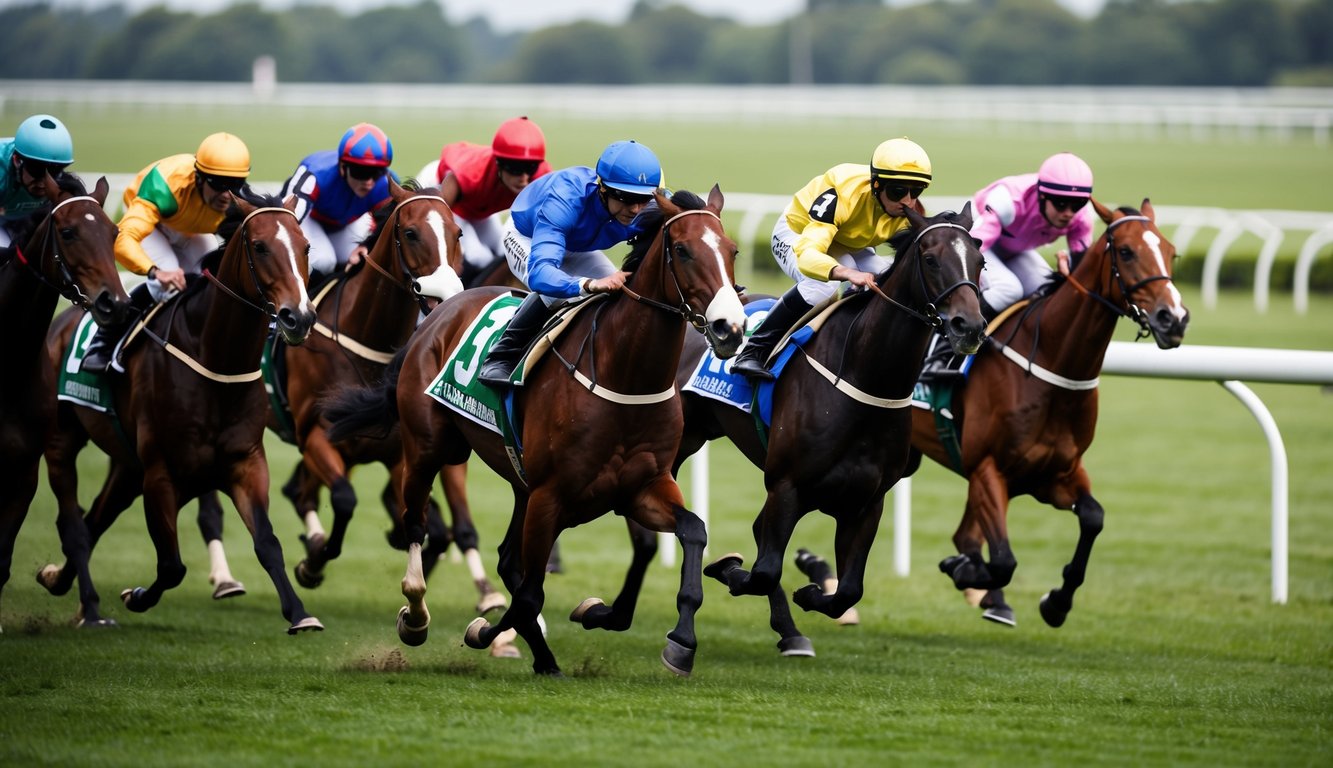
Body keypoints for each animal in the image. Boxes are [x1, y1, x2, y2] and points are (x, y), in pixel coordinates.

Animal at [39, 194, 322, 632]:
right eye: (260, 247)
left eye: (305, 246)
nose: (300, 317)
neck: (216, 360)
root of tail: (63, 321)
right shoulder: (161, 474)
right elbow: (172, 565)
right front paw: (137, 596)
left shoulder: (246, 462)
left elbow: (267, 543)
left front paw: (299, 613)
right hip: (62, 441)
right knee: (76, 522)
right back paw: (87, 605)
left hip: (127, 467)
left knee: (96, 518)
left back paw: (58, 579)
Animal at [317, 188, 746, 677]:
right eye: (684, 250)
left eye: (732, 251)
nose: (730, 328)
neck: (624, 375)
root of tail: (438, 313)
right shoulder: (551, 495)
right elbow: (528, 596)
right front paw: (484, 631)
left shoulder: (642, 486)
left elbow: (692, 531)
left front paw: (675, 639)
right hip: (429, 447)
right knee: (415, 522)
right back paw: (415, 616)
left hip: (519, 482)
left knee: (506, 557)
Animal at [677, 202, 991, 653]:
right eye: (931, 259)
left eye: (981, 261)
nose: (970, 327)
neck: (864, 377)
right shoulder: (786, 486)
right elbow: (764, 569)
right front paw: (728, 568)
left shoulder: (866, 501)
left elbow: (848, 590)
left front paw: (812, 590)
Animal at [906, 197, 1189, 629]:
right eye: (1126, 251)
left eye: (1171, 252)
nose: (1173, 318)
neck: (1051, 365)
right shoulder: (988, 469)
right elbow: (1002, 559)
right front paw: (967, 571)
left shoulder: (1055, 473)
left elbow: (1093, 517)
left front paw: (1056, 602)